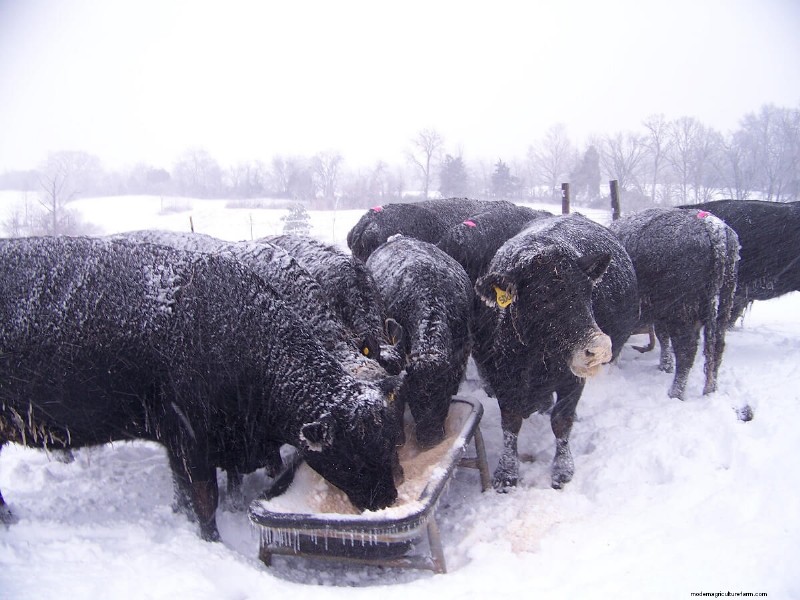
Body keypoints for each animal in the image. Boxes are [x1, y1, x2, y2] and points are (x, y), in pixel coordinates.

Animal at [0, 237, 404, 541]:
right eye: (354, 454)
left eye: (388, 437)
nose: (389, 497)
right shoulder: (191, 439)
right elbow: (205, 502)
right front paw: (212, 539)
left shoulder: (189, 441)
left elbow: (190, 489)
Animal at [472, 214, 639, 491]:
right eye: (542, 298)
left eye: (588, 292)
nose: (599, 347)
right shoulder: (502, 378)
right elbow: (510, 424)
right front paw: (506, 472)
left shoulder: (572, 381)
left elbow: (561, 422)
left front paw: (563, 469)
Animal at [610, 208, 740, 399]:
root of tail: (712, 225)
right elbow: (662, 337)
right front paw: (665, 365)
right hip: (722, 310)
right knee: (717, 348)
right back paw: (711, 389)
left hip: (681, 314)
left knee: (686, 351)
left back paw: (675, 392)